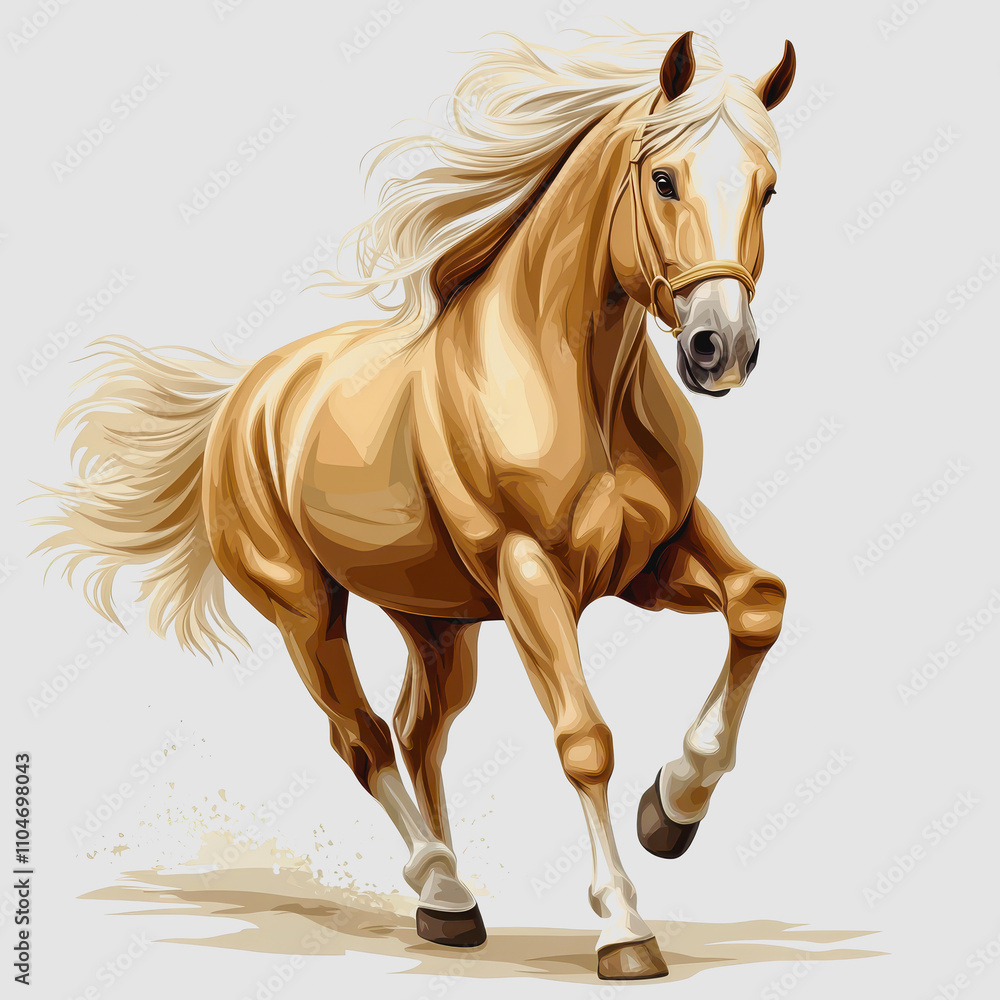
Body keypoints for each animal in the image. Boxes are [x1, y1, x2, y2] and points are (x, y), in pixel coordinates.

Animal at [38, 29, 797, 981]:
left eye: (769, 187)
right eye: (664, 179)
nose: (719, 348)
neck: (573, 381)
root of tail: (243, 399)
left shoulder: (653, 557)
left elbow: (761, 604)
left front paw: (672, 810)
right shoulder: (529, 572)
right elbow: (584, 739)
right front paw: (625, 929)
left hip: (437, 624)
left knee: (417, 730)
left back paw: (451, 910)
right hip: (305, 608)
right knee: (361, 735)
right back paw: (441, 885)